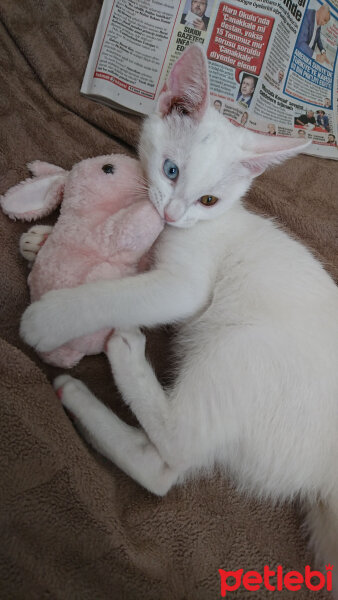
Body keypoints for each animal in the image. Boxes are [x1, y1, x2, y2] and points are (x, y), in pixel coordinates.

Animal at [19, 45, 338, 592]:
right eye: (170, 170)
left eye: (209, 200)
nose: (171, 215)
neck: (202, 225)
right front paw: (42, 241)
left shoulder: (185, 284)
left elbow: (117, 293)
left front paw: (52, 315)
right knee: (167, 464)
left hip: (244, 352)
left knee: (176, 451)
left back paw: (105, 371)